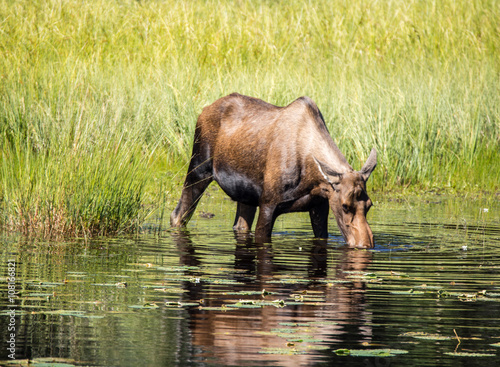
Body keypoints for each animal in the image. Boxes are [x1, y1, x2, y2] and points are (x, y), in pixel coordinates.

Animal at [170, 93, 376, 249]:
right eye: (344, 206)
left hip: (245, 195)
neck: (312, 179)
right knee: (177, 215)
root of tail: (203, 110)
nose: (366, 245)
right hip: (198, 169)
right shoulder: (268, 204)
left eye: (369, 205)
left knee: (240, 225)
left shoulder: (319, 206)